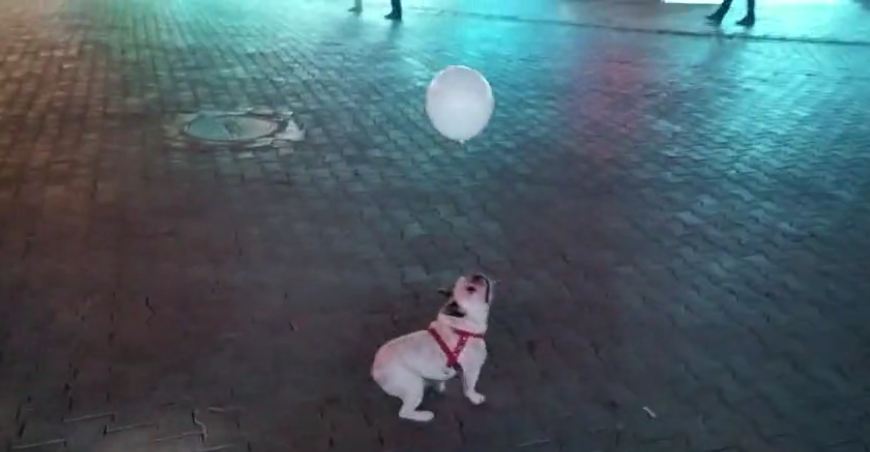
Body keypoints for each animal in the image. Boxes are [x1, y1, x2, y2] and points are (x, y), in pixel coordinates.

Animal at [370, 274, 498, 422]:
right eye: (470, 289)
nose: (477, 275)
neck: (461, 328)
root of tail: (375, 369)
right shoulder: (472, 370)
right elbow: (470, 386)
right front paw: (474, 397)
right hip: (412, 385)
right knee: (404, 412)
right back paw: (425, 415)